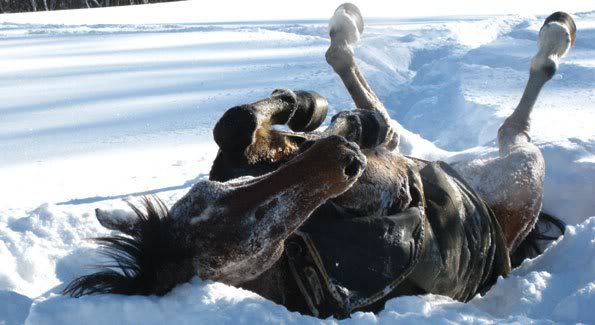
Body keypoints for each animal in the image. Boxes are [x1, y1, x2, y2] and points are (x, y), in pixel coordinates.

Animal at [64, 3, 576, 318]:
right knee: (515, 124)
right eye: (257, 240)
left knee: (380, 109)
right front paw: (333, 126)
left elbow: (235, 124)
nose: (339, 157)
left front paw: (304, 109)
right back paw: (557, 33)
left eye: (212, 193)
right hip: (522, 171)